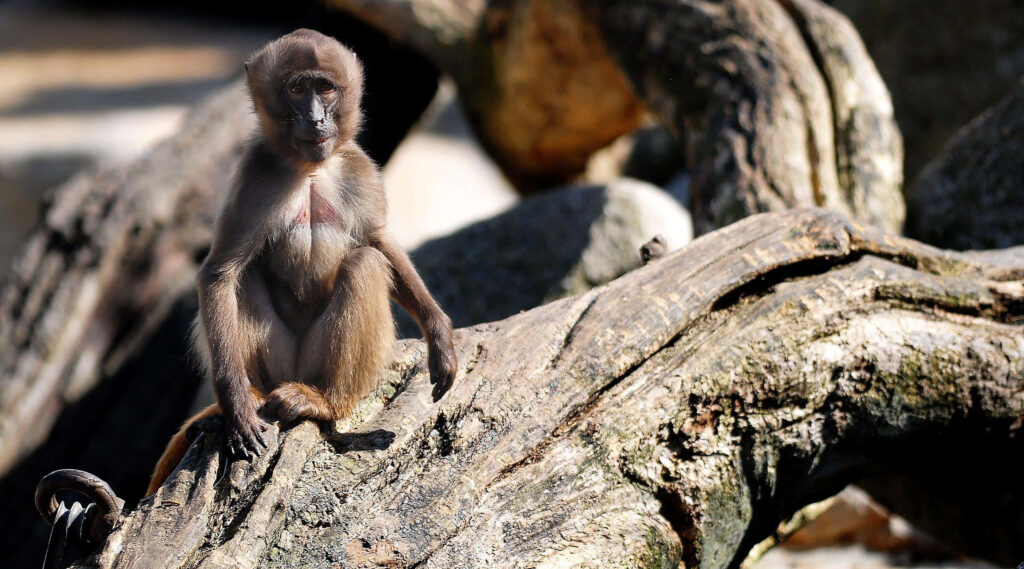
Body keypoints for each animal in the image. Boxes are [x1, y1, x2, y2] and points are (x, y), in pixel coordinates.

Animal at [147, 29, 457, 495]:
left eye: (324, 88)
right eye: (296, 90)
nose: (315, 119)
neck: (310, 169)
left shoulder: (358, 168)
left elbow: (378, 242)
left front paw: (439, 336)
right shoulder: (254, 176)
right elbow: (220, 274)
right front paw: (236, 406)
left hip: (315, 362)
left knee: (364, 265)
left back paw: (325, 403)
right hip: (279, 362)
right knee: (244, 279)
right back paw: (255, 396)